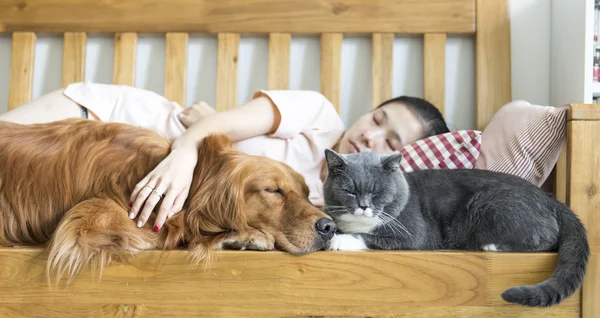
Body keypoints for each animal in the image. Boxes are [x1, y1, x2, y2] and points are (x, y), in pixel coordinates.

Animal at [324, 148, 592, 308]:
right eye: (349, 191)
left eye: (377, 192)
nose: (364, 206)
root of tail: (551, 200)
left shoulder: (415, 232)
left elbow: (370, 235)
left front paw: (339, 239)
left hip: (487, 203)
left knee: (544, 238)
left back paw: (491, 245)